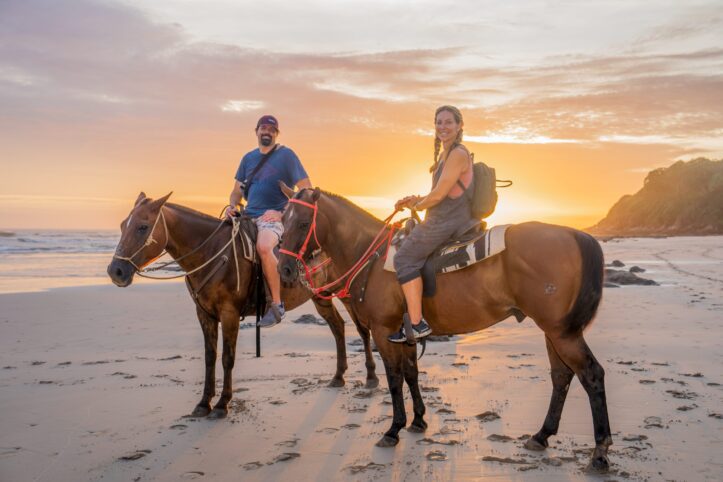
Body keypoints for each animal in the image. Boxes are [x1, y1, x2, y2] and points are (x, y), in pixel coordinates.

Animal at [109, 192, 378, 418]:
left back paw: (371, 376)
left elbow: (228, 358)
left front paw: (222, 404)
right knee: (338, 327)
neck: (213, 252)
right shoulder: (204, 314)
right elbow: (210, 357)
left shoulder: (229, 313)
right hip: (320, 296)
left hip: (348, 294)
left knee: (362, 330)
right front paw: (203, 402)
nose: (115, 271)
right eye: (122, 225)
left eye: (143, 227)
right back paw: (338, 375)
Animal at [280, 186, 612, 472]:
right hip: (554, 331)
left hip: (562, 333)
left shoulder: (383, 331)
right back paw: (542, 435)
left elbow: (394, 379)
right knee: (561, 376)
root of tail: (573, 234)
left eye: (304, 222)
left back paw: (599, 452)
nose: (284, 269)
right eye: (282, 219)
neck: (371, 256)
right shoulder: (404, 334)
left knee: (591, 375)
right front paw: (418, 420)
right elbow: (411, 373)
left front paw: (394, 428)